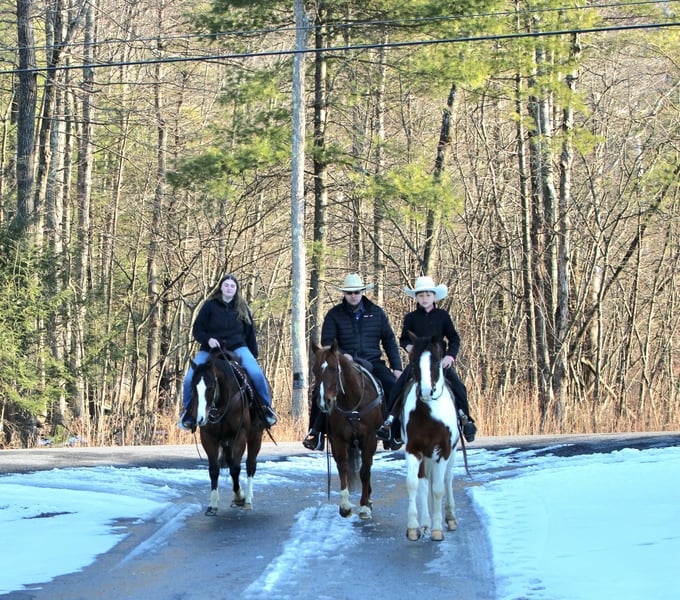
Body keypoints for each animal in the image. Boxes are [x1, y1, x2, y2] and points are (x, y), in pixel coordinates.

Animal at [188, 352, 266, 516]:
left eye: (211, 387)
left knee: (250, 465)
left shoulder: (240, 435)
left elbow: (235, 468)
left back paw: (247, 500)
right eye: (192, 387)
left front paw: (240, 497)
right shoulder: (208, 438)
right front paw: (213, 505)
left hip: (255, 435)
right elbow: (214, 470)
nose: (200, 419)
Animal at [311, 340, 383, 519]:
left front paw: (364, 507)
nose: (324, 402)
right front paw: (345, 506)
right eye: (314, 370)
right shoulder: (338, 439)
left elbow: (365, 471)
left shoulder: (370, 438)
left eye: (333, 368)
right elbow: (344, 469)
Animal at [401, 333, 460, 541]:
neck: (429, 413)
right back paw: (425, 523)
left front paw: (437, 529)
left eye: (436, 361)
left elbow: (438, 488)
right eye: (413, 361)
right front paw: (413, 527)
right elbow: (414, 485)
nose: (426, 391)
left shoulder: (443, 450)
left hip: (452, 453)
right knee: (425, 483)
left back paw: (450, 518)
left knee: (447, 480)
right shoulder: (413, 449)